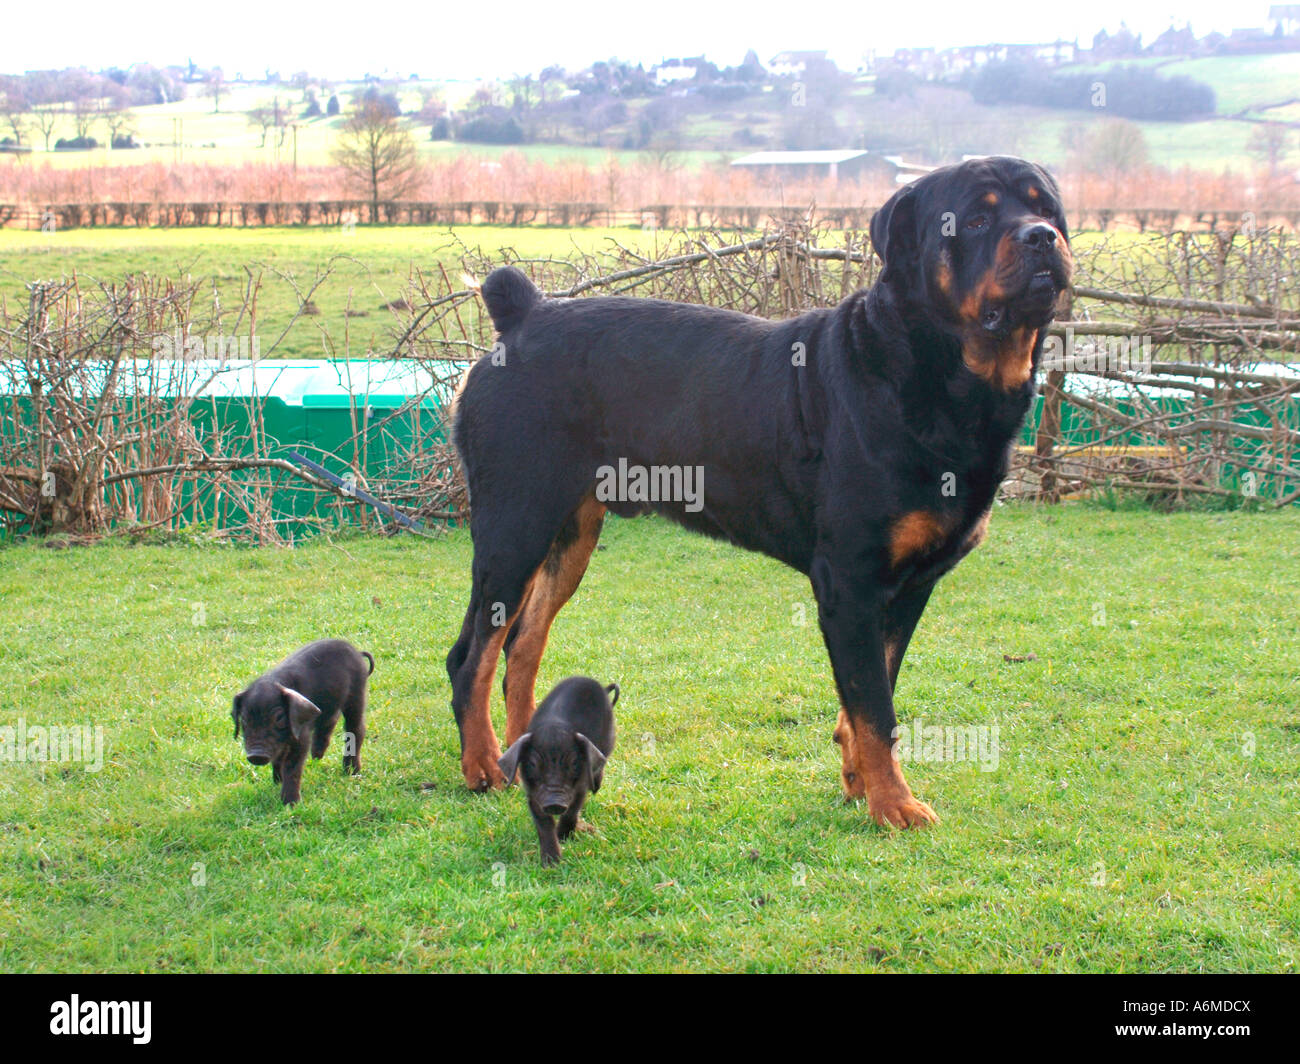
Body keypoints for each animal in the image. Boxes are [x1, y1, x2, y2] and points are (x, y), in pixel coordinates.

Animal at [441, 153, 1071, 827]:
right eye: (975, 218)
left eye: (1047, 209)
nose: (1041, 237)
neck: (942, 374)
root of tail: (523, 313)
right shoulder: (850, 579)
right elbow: (877, 709)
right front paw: (894, 804)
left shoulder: (909, 585)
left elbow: (871, 691)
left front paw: (858, 781)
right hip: (515, 525)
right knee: (472, 656)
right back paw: (482, 767)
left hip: (571, 532)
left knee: (521, 648)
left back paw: (529, 758)